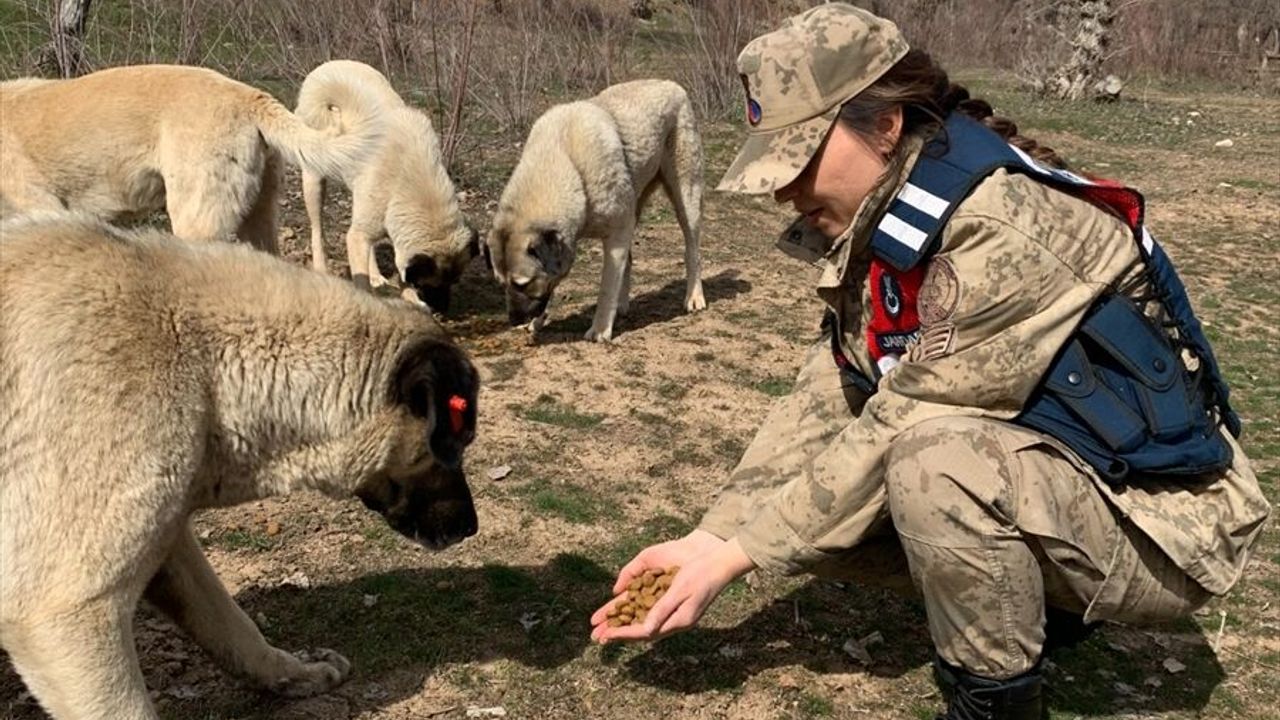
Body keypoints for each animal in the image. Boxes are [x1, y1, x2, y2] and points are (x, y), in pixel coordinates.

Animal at [0, 213, 480, 720]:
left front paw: (295, 672)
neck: (202, 360)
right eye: (457, 442)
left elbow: (231, 624)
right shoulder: (68, 615)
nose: (471, 527)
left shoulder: (168, 544)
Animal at [296, 60, 478, 311]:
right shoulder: (358, 235)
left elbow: (399, 270)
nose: (441, 310)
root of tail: (325, 67)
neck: (411, 176)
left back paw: (376, 276)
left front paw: (409, 297)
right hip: (314, 182)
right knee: (316, 230)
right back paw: (323, 269)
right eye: (430, 284)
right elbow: (362, 278)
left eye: (454, 282)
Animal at [485, 79, 706, 342]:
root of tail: (671, 84)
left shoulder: (616, 238)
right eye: (501, 284)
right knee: (630, 260)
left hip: (686, 200)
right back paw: (621, 306)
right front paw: (536, 322)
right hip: (634, 208)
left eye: (522, 284)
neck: (568, 162)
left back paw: (694, 297)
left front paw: (600, 329)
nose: (513, 321)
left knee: (692, 251)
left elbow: (606, 287)